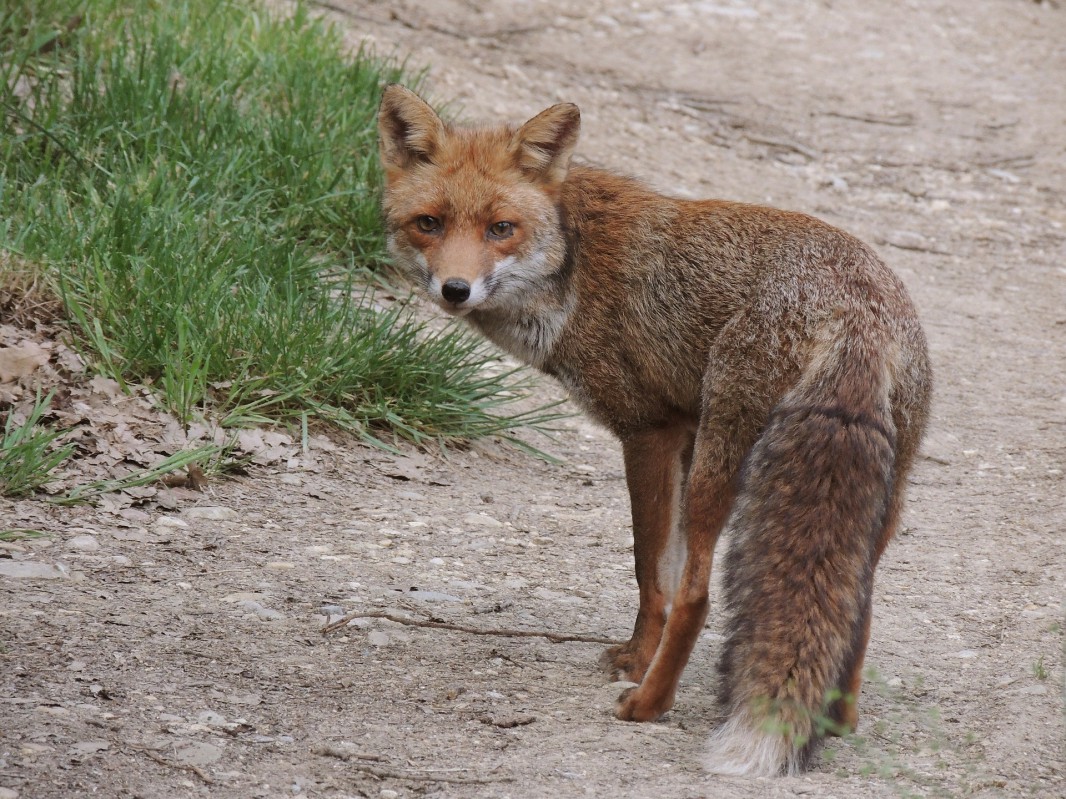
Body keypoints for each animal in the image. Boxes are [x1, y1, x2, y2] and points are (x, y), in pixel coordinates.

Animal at [379, 84, 929, 779]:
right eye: (429, 223)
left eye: (500, 229)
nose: (456, 289)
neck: (574, 263)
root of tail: (855, 311)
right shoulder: (684, 432)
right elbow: (659, 574)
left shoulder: (650, 431)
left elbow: (653, 577)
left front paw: (637, 662)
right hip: (880, 491)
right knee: (859, 604)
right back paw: (835, 722)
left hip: (722, 467)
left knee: (699, 595)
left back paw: (647, 704)